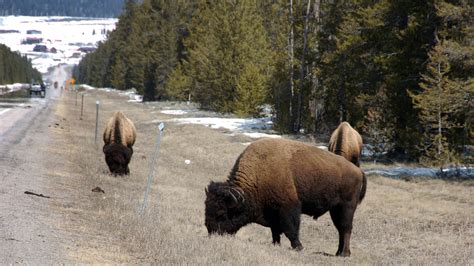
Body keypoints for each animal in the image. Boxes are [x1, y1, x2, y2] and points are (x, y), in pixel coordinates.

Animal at [204, 138, 366, 256]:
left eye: (221, 214)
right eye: (207, 209)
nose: (211, 232)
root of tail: (358, 171)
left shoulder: (288, 208)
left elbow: (290, 229)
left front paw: (299, 247)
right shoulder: (272, 213)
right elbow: (275, 231)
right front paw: (276, 244)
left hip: (346, 207)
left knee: (346, 229)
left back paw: (344, 254)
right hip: (335, 210)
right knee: (341, 230)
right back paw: (339, 252)